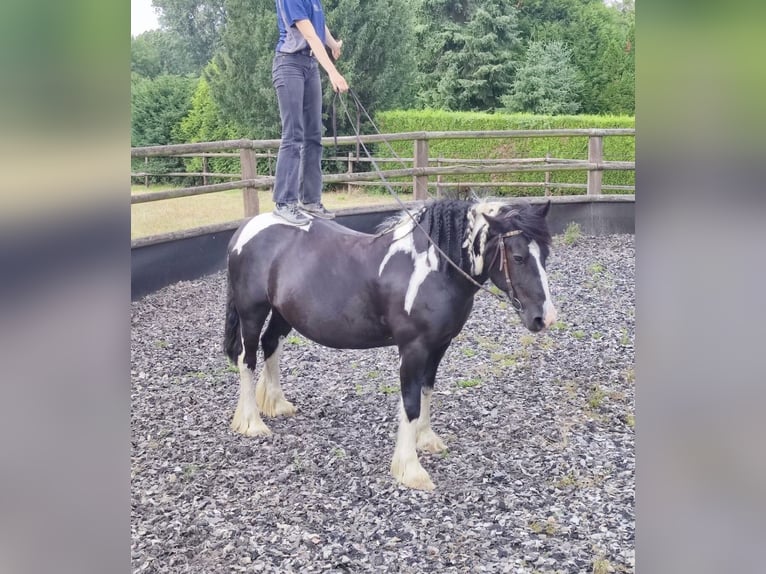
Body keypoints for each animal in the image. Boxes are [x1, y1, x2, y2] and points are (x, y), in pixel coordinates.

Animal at [222, 199, 560, 490]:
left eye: (545, 255)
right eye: (518, 257)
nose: (544, 318)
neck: (433, 269)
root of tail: (246, 229)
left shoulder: (439, 346)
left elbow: (426, 391)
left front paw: (426, 439)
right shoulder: (413, 348)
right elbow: (410, 402)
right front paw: (410, 469)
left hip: (283, 313)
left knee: (270, 345)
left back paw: (277, 404)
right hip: (252, 312)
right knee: (247, 359)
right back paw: (251, 423)